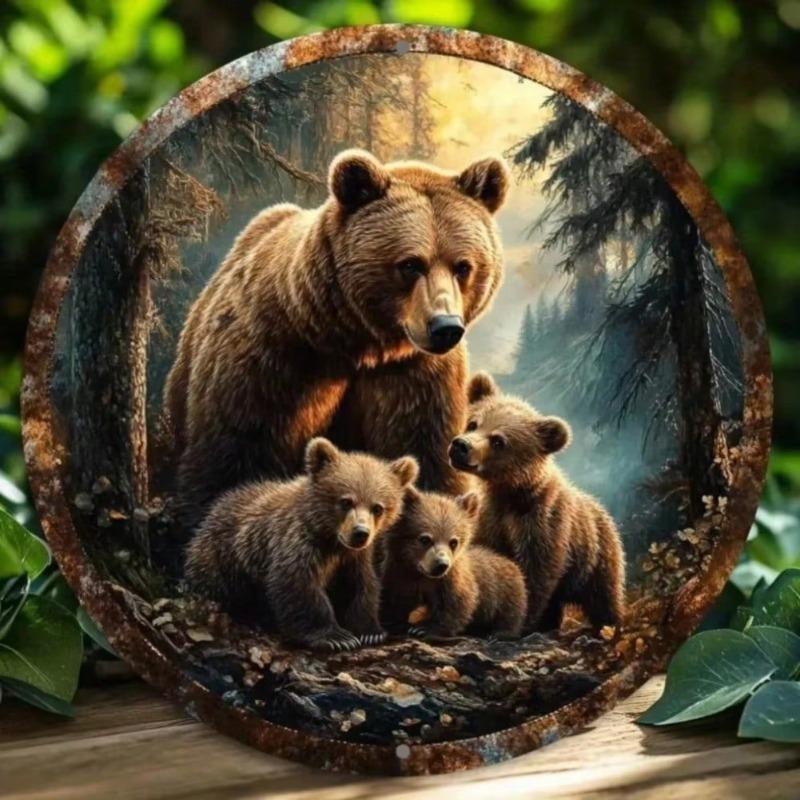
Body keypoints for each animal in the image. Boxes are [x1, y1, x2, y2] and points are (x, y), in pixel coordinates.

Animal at [164, 149, 509, 531]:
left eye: (463, 266)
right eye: (410, 264)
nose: (445, 326)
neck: (355, 343)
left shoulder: (413, 374)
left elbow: (426, 451)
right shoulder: (272, 358)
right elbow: (237, 450)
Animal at [184, 437, 418, 652]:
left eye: (377, 507)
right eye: (345, 501)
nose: (360, 533)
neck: (329, 538)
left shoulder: (352, 558)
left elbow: (361, 585)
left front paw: (371, 632)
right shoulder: (295, 541)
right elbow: (298, 585)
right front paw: (335, 637)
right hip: (221, 559)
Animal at [380, 488, 527, 638]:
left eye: (453, 542)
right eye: (425, 539)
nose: (441, 564)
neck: (420, 574)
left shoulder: (453, 581)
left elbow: (457, 604)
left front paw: (423, 628)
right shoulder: (400, 575)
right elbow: (396, 599)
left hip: (507, 590)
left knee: (510, 613)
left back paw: (500, 633)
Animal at [448, 372, 626, 632]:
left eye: (498, 441)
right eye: (473, 423)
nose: (461, 445)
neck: (508, 492)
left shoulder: (542, 521)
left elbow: (536, 573)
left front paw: (521, 620)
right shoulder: (489, 518)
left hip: (598, 555)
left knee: (604, 595)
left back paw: (608, 625)